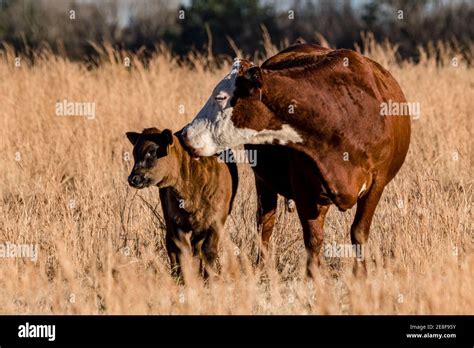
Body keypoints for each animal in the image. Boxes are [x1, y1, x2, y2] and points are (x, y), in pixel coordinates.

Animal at [181, 43, 412, 276]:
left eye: (219, 97)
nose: (184, 134)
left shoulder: (377, 182)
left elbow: (359, 232)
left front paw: (360, 274)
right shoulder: (304, 186)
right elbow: (313, 238)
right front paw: (313, 277)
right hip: (264, 182)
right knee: (265, 223)